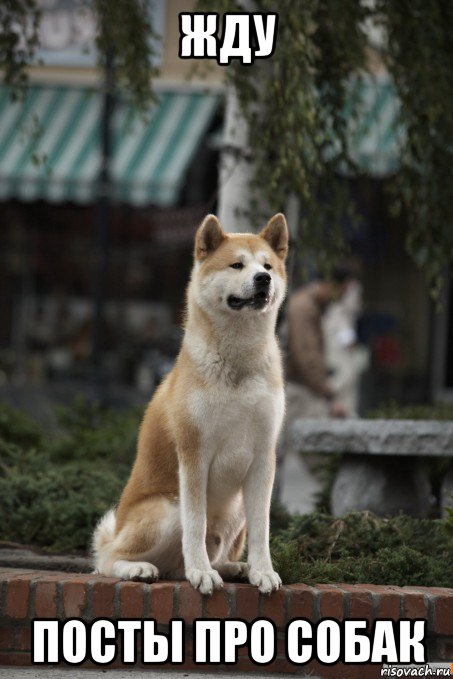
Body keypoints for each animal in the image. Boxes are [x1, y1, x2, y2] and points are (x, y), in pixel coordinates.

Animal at [93, 214, 288, 596]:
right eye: (237, 265)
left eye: (268, 265)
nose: (264, 279)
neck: (238, 364)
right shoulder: (194, 453)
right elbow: (195, 525)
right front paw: (201, 573)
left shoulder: (263, 457)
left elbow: (263, 529)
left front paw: (263, 571)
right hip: (167, 508)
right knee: (107, 560)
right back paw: (142, 568)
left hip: (236, 509)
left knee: (203, 558)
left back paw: (235, 568)